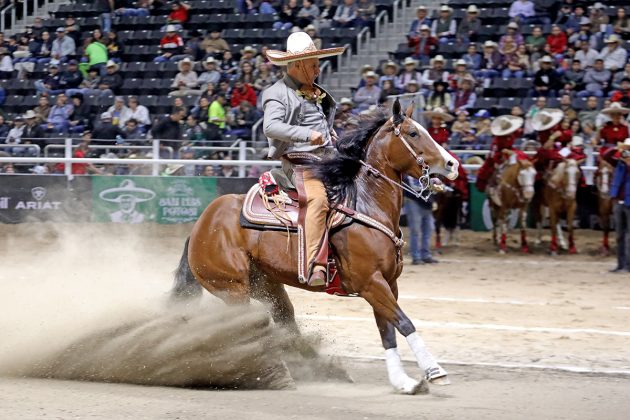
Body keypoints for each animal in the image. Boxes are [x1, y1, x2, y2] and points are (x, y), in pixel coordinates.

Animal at [170, 101, 462, 394]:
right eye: (413, 133)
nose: (452, 164)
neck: (365, 205)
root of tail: (200, 226)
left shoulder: (387, 283)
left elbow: (387, 331)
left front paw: (403, 381)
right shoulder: (371, 283)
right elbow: (404, 322)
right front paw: (435, 371)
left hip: (267, 286)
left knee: (287, 325)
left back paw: (322, 370)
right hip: (233, 289)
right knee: (246, 330)